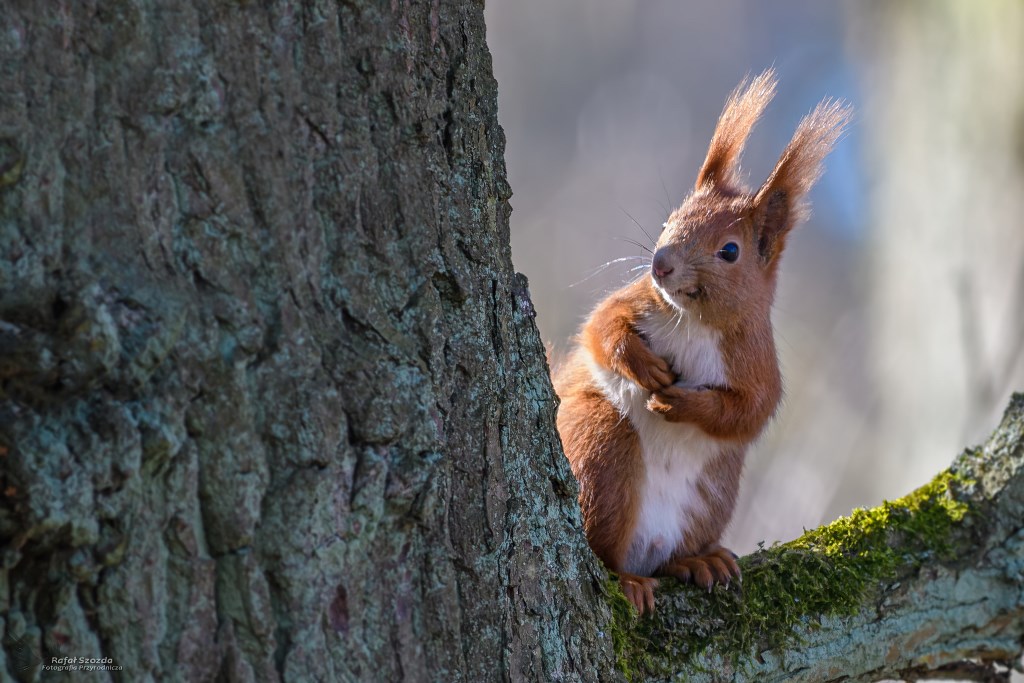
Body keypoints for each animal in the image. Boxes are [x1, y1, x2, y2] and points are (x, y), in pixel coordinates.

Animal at [552, 70, 847, 614]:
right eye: (669, 220)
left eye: (729, 251)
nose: (660, 264)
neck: (692, 320)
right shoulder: (635, 301)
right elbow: (600, 330)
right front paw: (642, 366)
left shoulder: (756, 362)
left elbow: (747, 411)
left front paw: (680, 403)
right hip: (601, 449)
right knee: (607, 553)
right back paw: (629, 580)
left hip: (710, 496)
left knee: (665, 555)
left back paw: (695, 561)